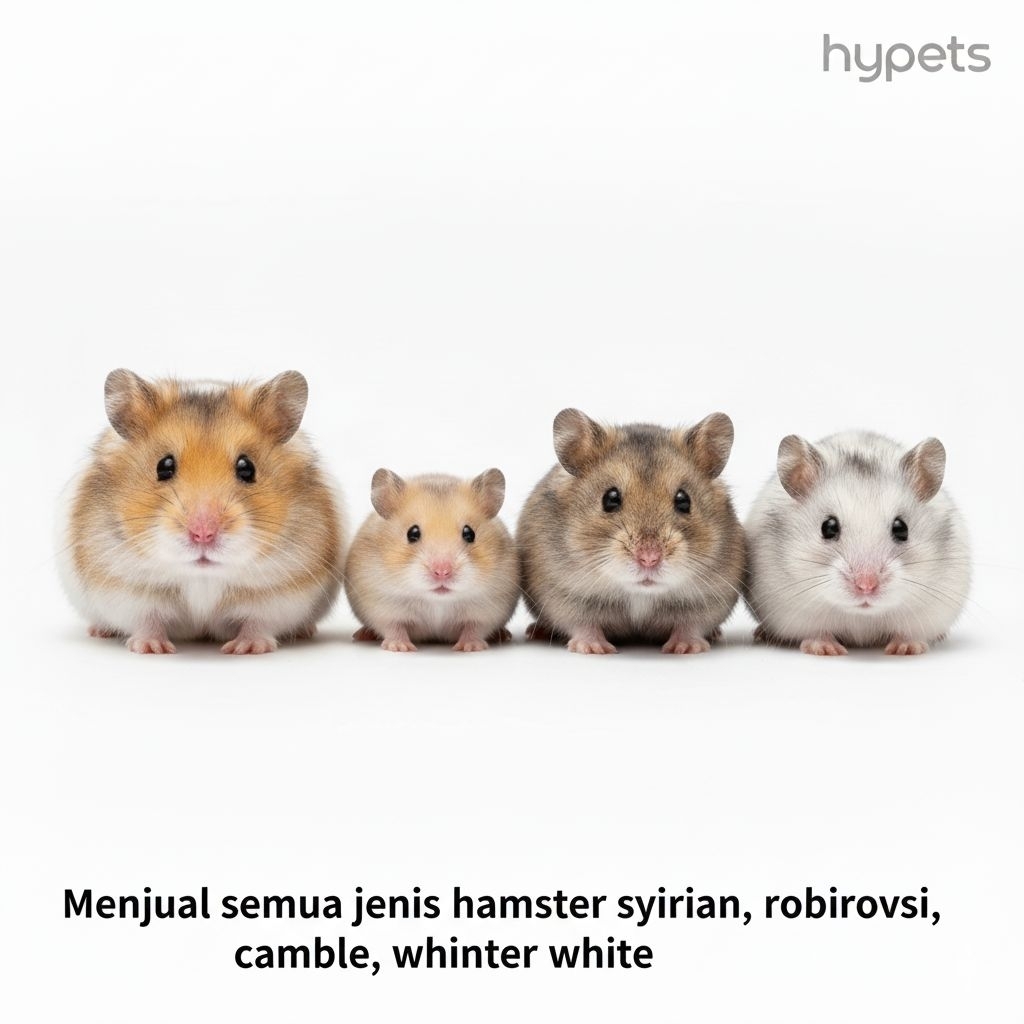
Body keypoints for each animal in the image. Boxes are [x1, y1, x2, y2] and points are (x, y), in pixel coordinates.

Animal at [57, 369, 345, 654]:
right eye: (164, 466)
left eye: (247, 468)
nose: (203, 534)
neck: (202, 577)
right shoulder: (126, 590)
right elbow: (147, 620)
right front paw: (151, 648)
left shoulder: (279, 594)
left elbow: (257, 622)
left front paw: (247, 648)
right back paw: (99, 631)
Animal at [344, 469, 519, 652]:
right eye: (412, 533)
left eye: (469, 533)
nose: (442, 572)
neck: (437, 601)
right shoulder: (382, 605)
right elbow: (394, 627)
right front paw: (400, 647)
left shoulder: (487, 609)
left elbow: (474, 628)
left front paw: (470, 647)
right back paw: (362, 635)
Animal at [517, 409, 745, 654]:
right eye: (610, 498)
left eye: (684, 500)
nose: (649, 559)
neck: (639, 595)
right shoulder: (563, 594)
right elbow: (583, 624)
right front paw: (595, 649)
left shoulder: (708, 599)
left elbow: (690, 625)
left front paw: (686, 648)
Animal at [744, 430, 971, 655]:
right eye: (828, 527)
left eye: (901, 528)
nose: (866, 586)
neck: (862, 616)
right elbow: (817, 633)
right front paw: (827, 650)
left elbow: (908, 633)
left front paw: (906, 649)